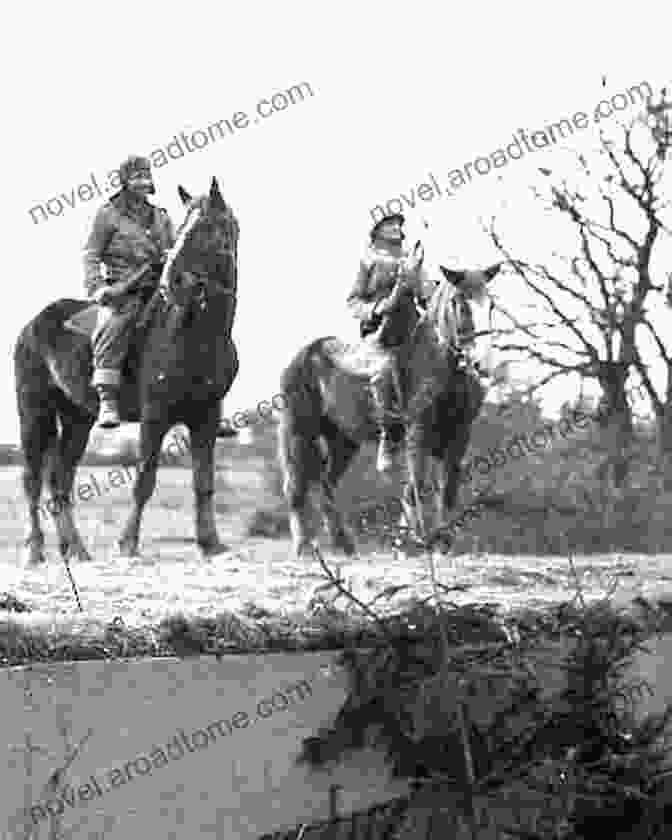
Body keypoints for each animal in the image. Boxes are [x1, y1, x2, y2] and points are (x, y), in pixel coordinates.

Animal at [13, 180, 242, 568]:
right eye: (182, 229)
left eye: (206, 229)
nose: (171, 283)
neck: (198, 333)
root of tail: (32, 325)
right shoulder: (155, 416)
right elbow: (145, 478)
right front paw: (128, 543)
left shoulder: (207, 418)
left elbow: (204, 482)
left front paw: (211, 544)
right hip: (34, 412)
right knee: (32, 479)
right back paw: (34, 550)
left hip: (77, 419)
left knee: (60, 481)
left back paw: (77, 549)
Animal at [274, 262, 504, 556]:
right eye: (459, 303)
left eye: (491, 305)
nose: (482, 364)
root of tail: (305, 354)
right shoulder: (417, 433)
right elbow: (416, 484)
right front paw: (414, 540)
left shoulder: (460, 435)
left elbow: (448, 487)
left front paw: (442, 542)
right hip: (297, 431)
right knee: (295, 485)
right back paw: (304, 546)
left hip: (344, 441)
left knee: (327, 483)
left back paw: (343, 543)